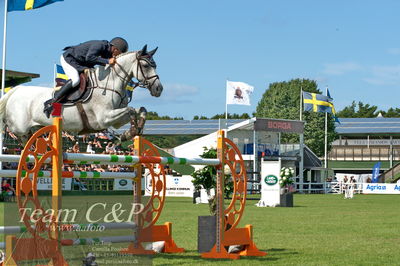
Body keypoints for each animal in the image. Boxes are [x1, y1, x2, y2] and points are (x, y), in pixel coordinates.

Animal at [0, 44, 162, 142]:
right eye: (146, 66)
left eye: (155, 65)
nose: (159, 89)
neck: (109, 83)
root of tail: (15, 90)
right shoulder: (104, 118)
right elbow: (131, 110)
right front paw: (131, 132)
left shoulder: (115, 121)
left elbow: (140, 109)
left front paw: (133, 131)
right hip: (20, 127)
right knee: (18, 134)